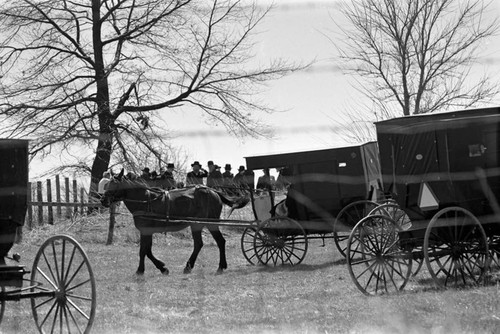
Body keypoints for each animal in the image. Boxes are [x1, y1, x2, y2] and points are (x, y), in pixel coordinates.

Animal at [100, 171, 249, 276]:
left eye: (114, 184)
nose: (103, 200)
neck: (145, 201)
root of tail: (213, 191)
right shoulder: (147, 231)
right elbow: (147, 250)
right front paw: (162, 268)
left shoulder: (146, 230)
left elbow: (143, 251)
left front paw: (141, 270)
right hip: (197, 224)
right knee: (200, 244)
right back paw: (190, 266)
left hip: (208, 223)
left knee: (219, 242)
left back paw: (219, 266)